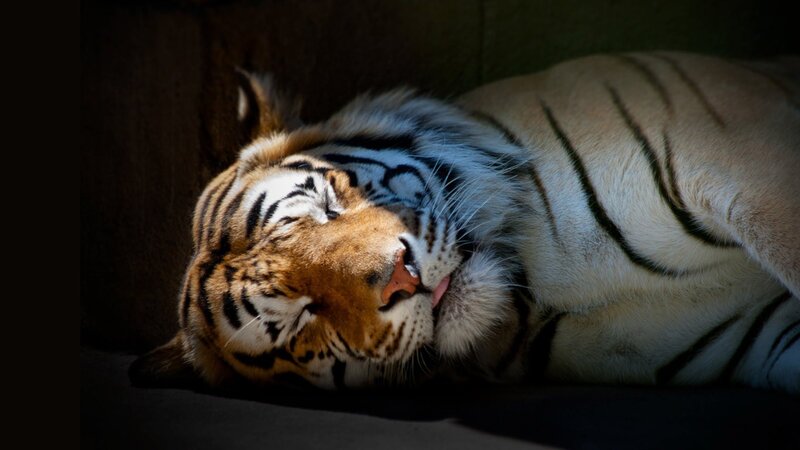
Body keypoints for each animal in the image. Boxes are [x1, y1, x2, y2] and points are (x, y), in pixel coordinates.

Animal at [130, 52, 800, 394]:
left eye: (327, 203)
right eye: (299, 316)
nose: (401, 277)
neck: (541, 281)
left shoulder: (747, 160)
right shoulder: (755, 338)